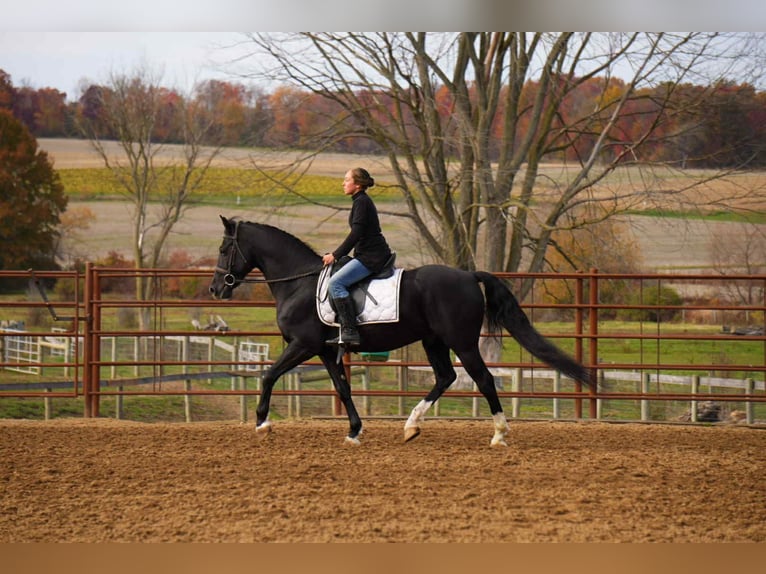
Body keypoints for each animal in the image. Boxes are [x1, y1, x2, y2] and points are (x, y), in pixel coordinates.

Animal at [209, 216, 591, 446]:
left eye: (225, 248)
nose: (215, 289)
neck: (299, 283)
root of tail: (469, 275)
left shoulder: (303, 345)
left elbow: (269, 375)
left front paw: (262, 423)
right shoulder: (324, 350)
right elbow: (343, 388)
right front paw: (354, 431)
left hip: (462, 342)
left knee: (482, 379)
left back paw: (499, 434)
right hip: (434, 341)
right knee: (445, 377)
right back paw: (411, 425)